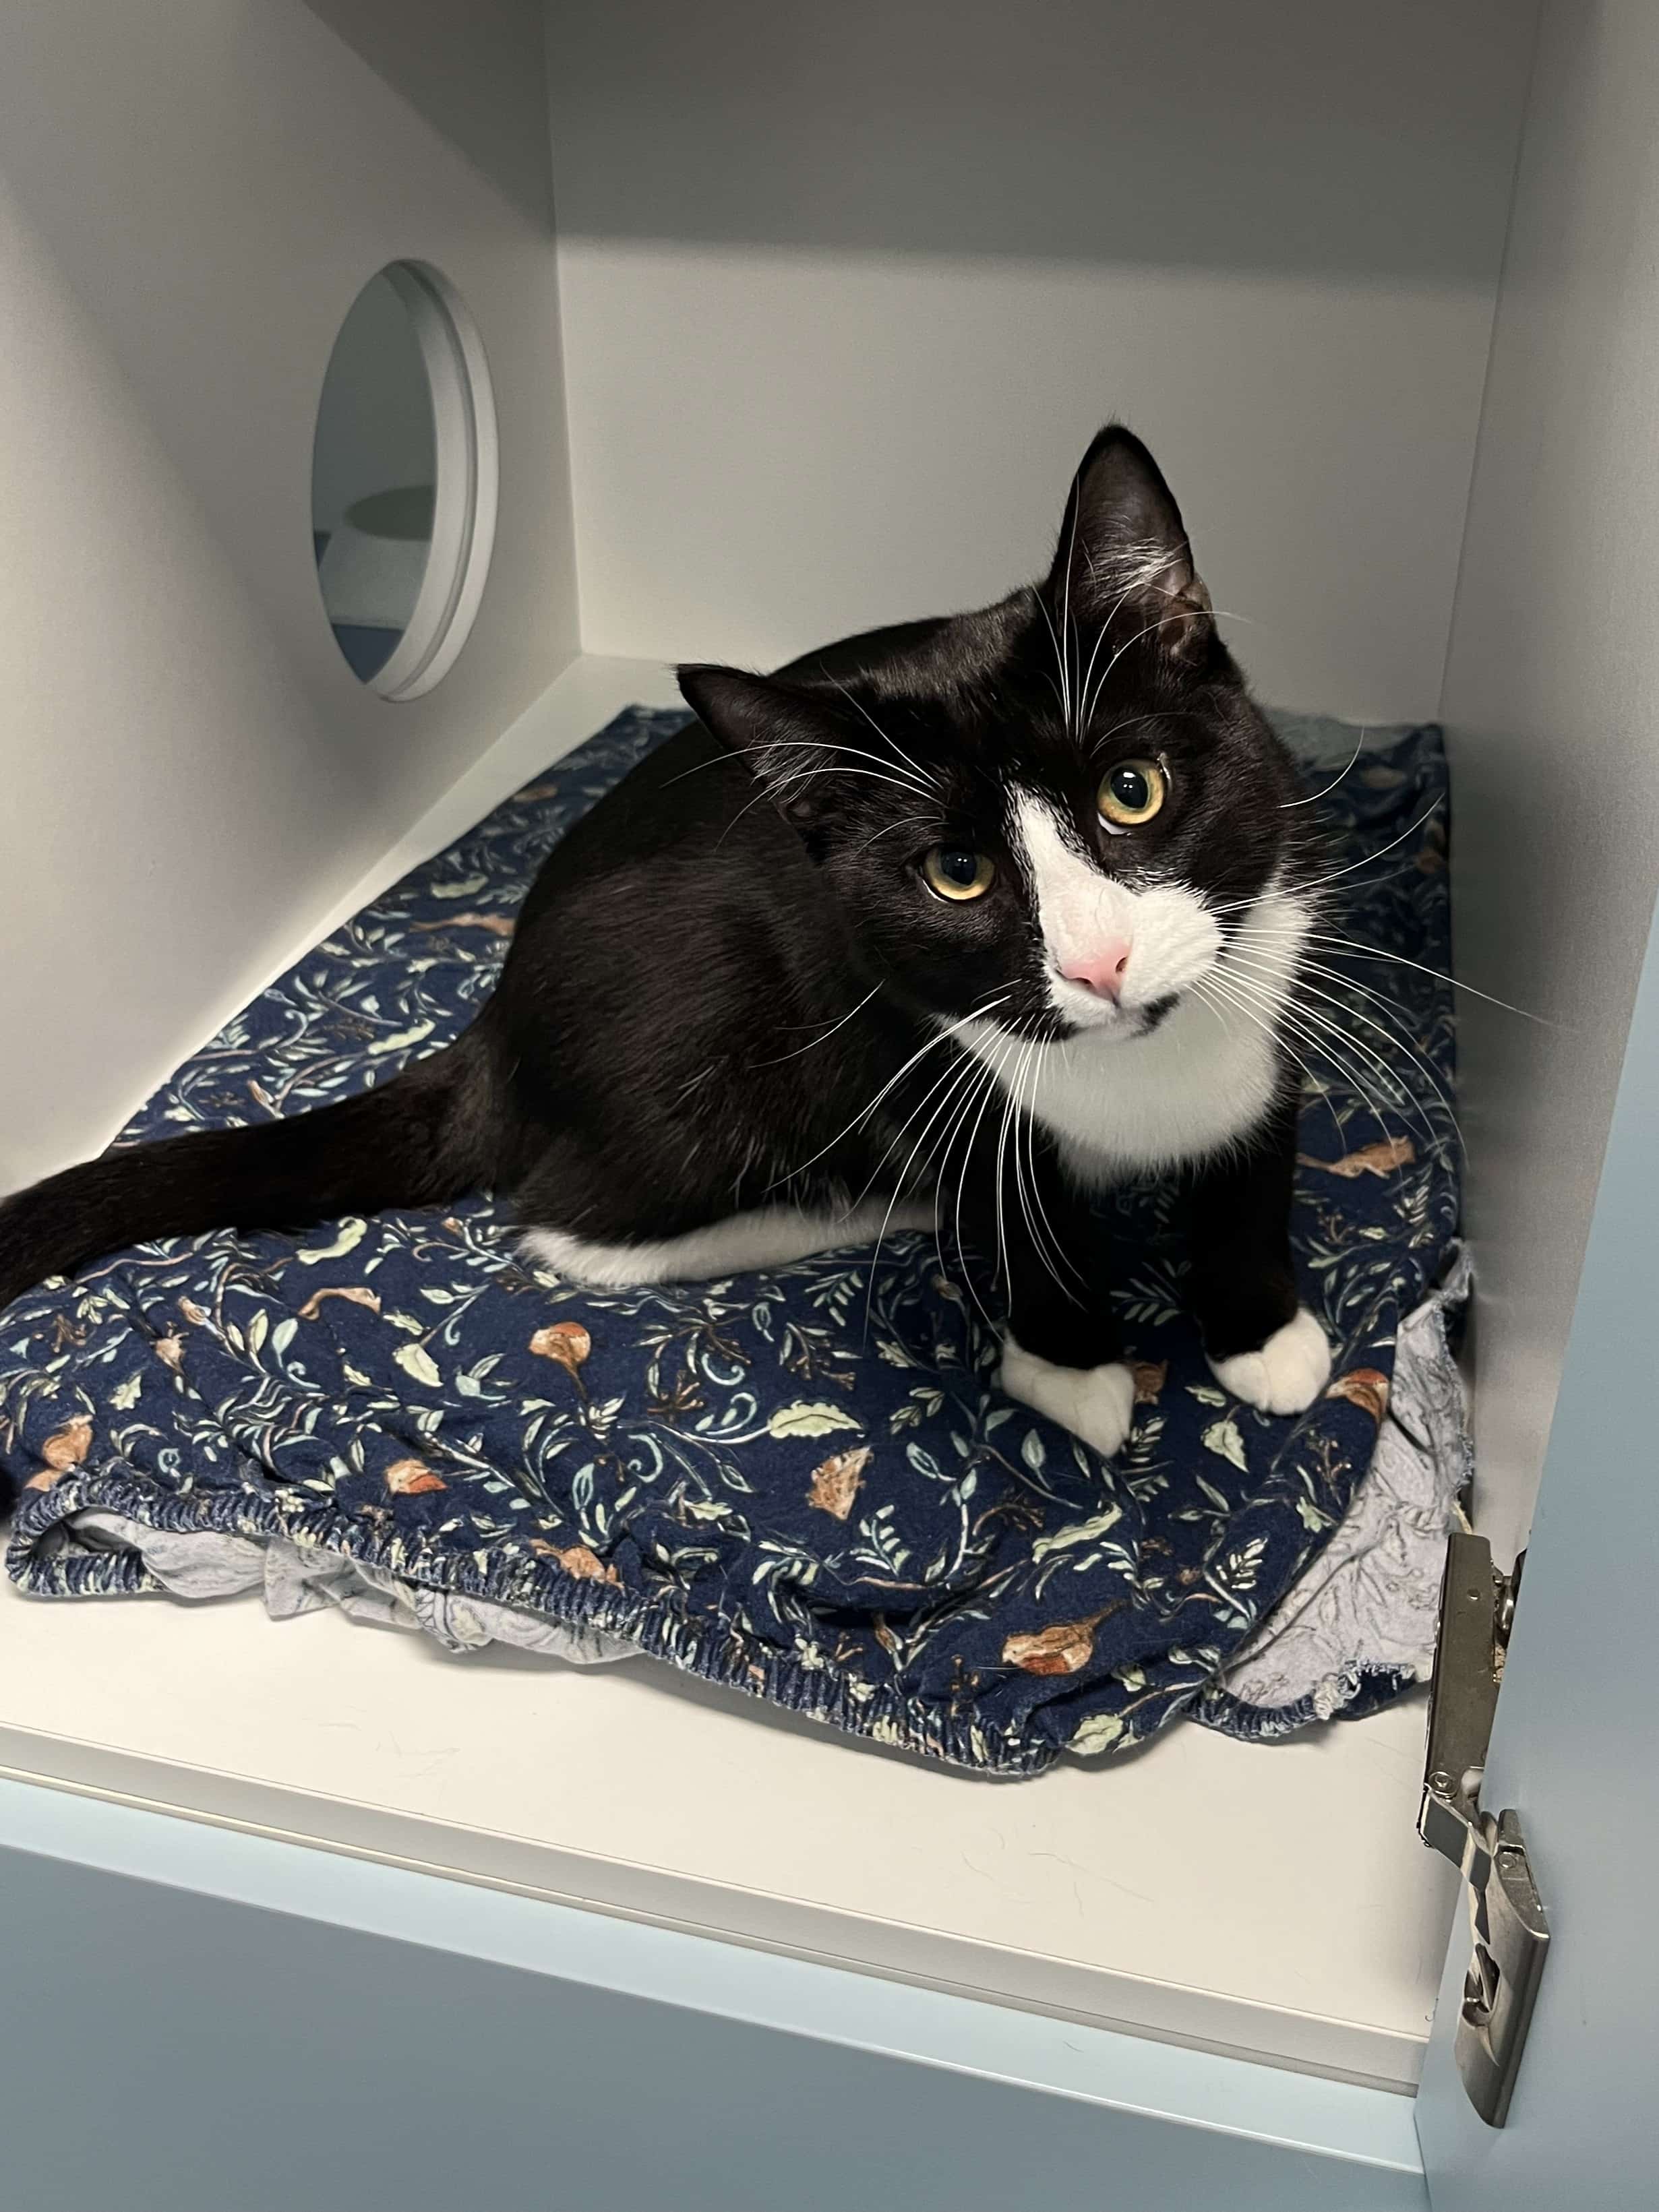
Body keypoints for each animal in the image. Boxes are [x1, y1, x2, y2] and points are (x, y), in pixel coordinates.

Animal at [0, 425, 1328, 1468]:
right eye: (957, 875)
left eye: (1132, 790)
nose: (1099, 965)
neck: (1136, 1071)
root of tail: (496, 1015)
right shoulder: (908, 1040)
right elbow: (1003, 1196)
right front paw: (1069, 1361)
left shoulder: (1286, 948)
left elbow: (1261, 1141)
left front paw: (1261, 1328)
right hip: (715, 1029)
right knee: (571, 1220)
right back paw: (852, 1207)